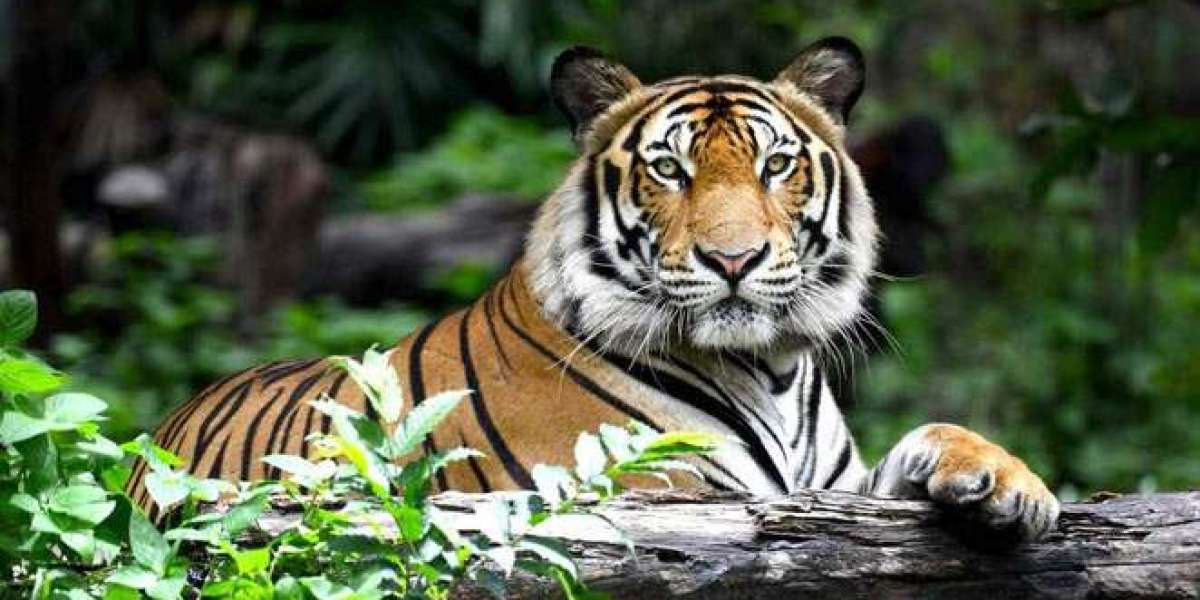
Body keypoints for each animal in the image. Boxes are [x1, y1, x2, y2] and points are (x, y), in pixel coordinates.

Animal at [131, 37, 1059, 540]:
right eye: (669, 169)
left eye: (775, 165)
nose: (733, 259)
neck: (769, 369)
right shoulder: (655, 495)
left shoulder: (834, 493)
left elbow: (930, 438)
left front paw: (1009, 484)